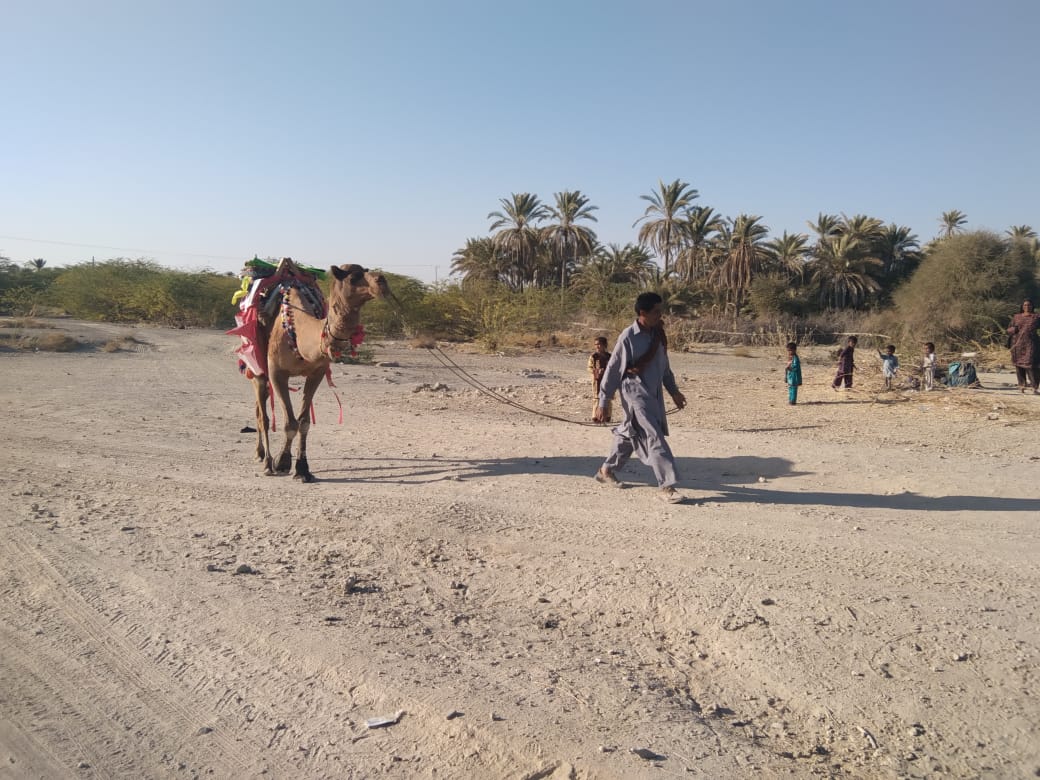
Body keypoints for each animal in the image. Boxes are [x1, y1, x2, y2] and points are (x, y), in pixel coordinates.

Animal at [248, 263, 391, 482]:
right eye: (353, 277)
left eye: (366, 271)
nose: (382, 281)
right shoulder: (277, 372)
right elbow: (290, 422)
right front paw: (281, 463)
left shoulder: (317, 372)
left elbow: (304, 422)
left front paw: (302, 469)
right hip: (256, 365)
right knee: (262, 414)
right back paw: (264, 459)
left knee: (260, 408)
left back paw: (261, 453)